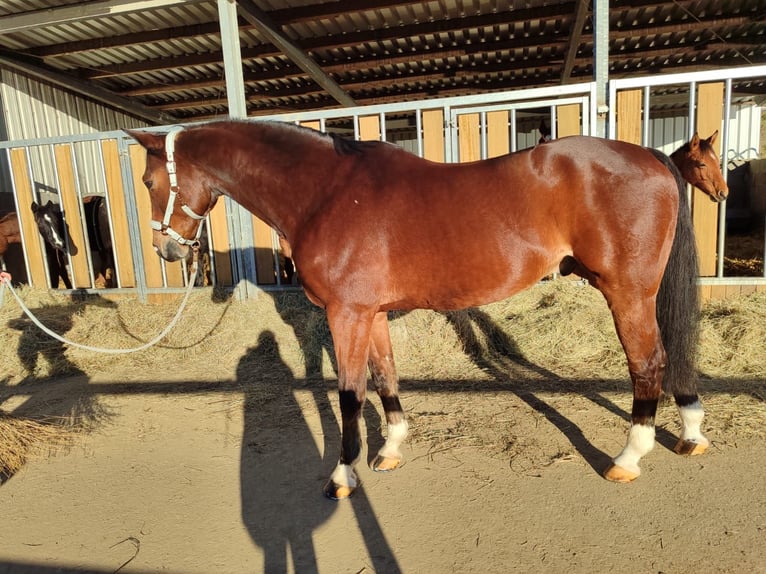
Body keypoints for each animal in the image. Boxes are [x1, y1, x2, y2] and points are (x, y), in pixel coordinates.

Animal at [127, 121, 727, 500]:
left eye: (150, 180)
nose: (167, 251)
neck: (325, 192)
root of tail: (650, 157)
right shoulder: (369, 314)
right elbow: (385, 375)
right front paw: (391, 447)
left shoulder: (346, 314)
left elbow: (349, 395)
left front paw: (342, 476)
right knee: (672, 358)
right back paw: (691, 434)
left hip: (627, 293)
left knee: (648, 363)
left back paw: (628, 458)